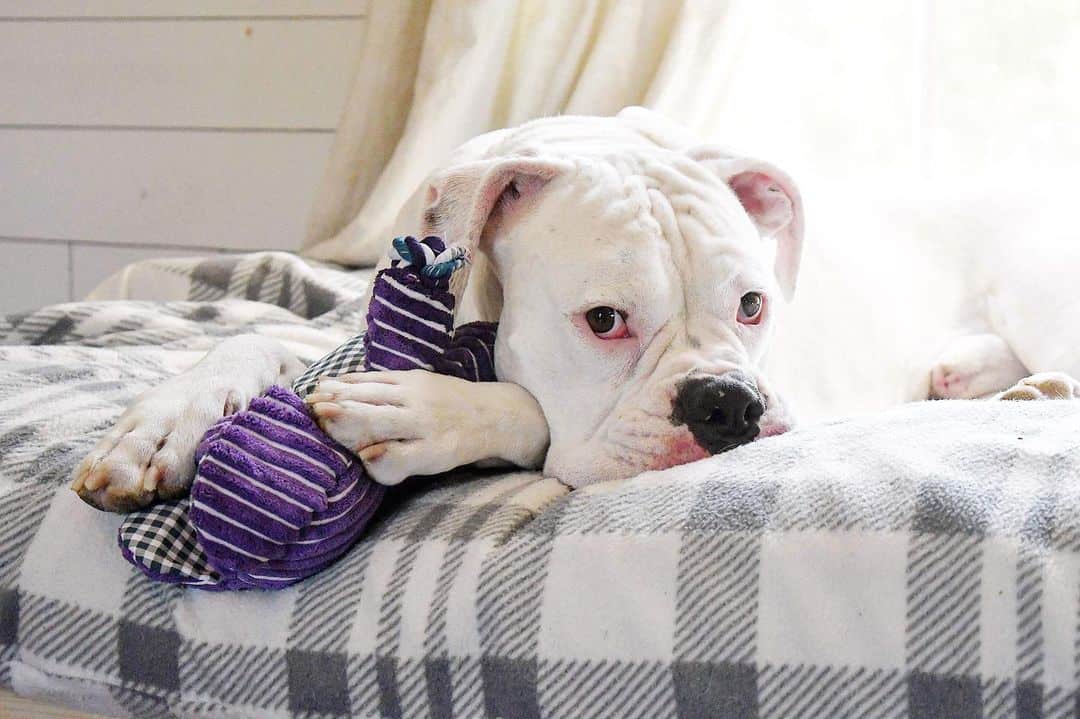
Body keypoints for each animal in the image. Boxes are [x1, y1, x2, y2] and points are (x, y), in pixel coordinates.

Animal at [73, 106, 1080, 509]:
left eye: (754, 305)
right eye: (604, 322)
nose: (730, 403)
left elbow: (525, 408)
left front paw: (424, 409)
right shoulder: (334, 330)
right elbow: (254, 339)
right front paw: (159, 428)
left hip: (1035, 281)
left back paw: (1028, 390)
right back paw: (971, 375)